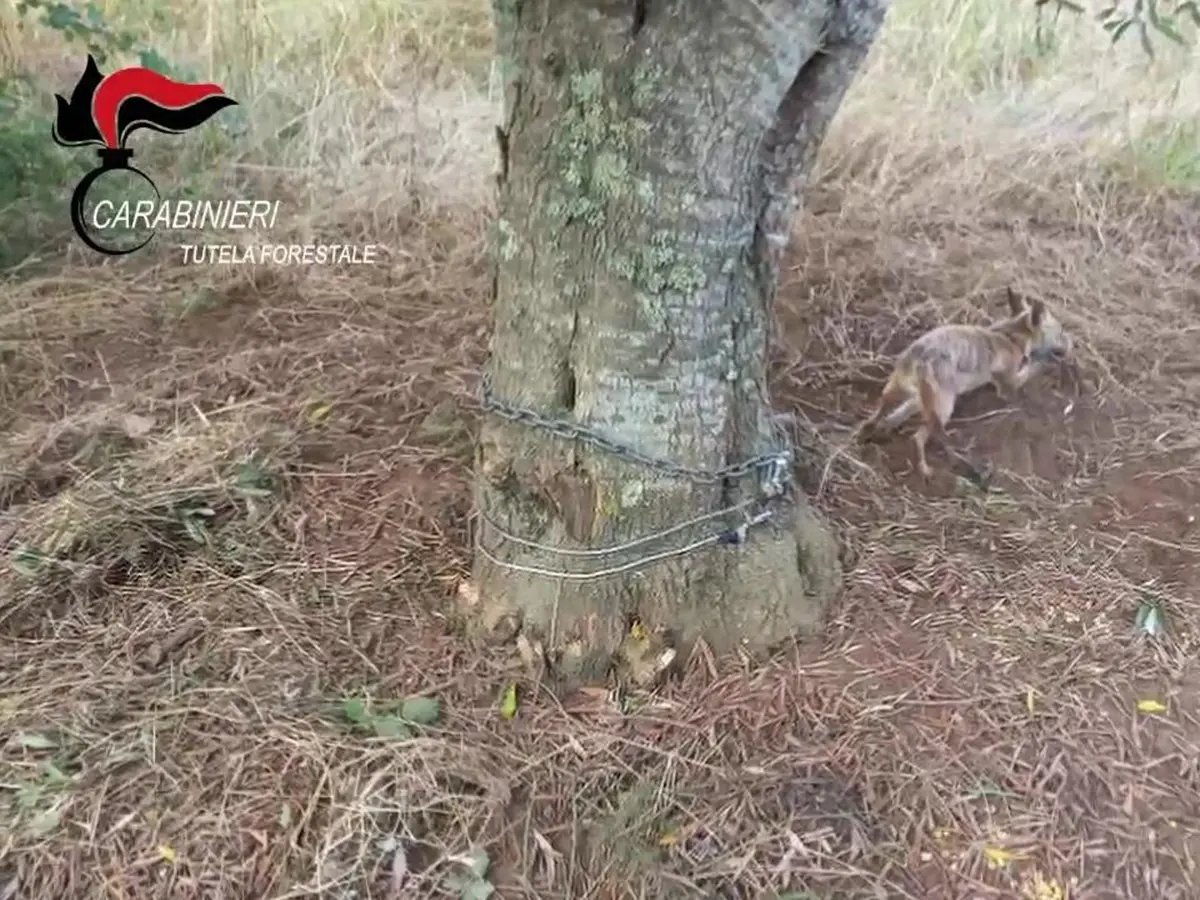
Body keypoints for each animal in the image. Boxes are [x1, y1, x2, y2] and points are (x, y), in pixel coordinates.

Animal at [856, 288, 1073, 478]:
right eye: (1060, 331)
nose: (1070, 346)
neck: (1011, 335)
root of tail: (919, 359)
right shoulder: (1008, 383)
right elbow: (1029, 371)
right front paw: (1043, 363)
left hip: (900, 391)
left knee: (882, 413)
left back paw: (871, 430)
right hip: (944, 406)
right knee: (918, 437)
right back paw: (927, 466)